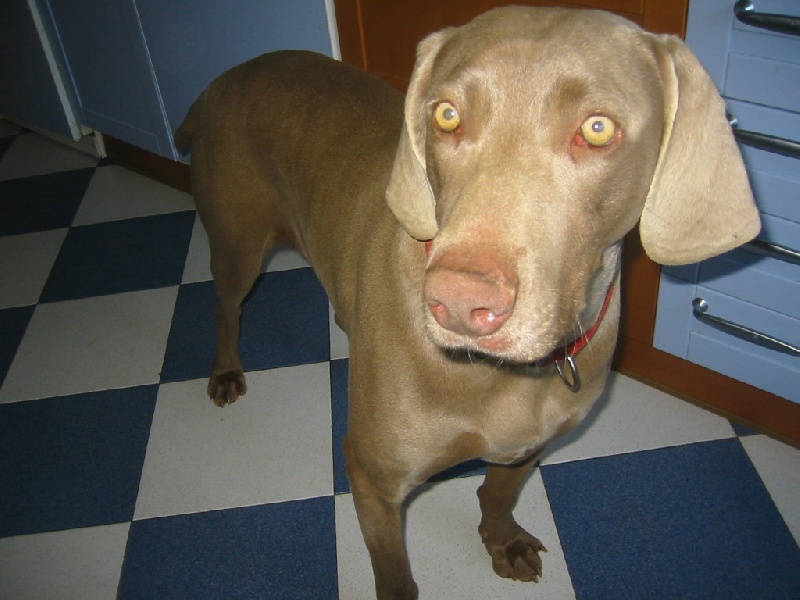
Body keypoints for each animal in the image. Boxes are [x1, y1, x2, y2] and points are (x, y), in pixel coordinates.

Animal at [175, 7, 759, 599]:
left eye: (598, 128)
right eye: (447, 115)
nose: (459, 302)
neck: (508, 375)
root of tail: (221, 80)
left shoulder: (528, 441)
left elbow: (497, 493)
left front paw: (502, 540)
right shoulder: (372, 478)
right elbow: (395, 574)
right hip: (238, 244)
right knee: (227, 305)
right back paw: (225, 371)